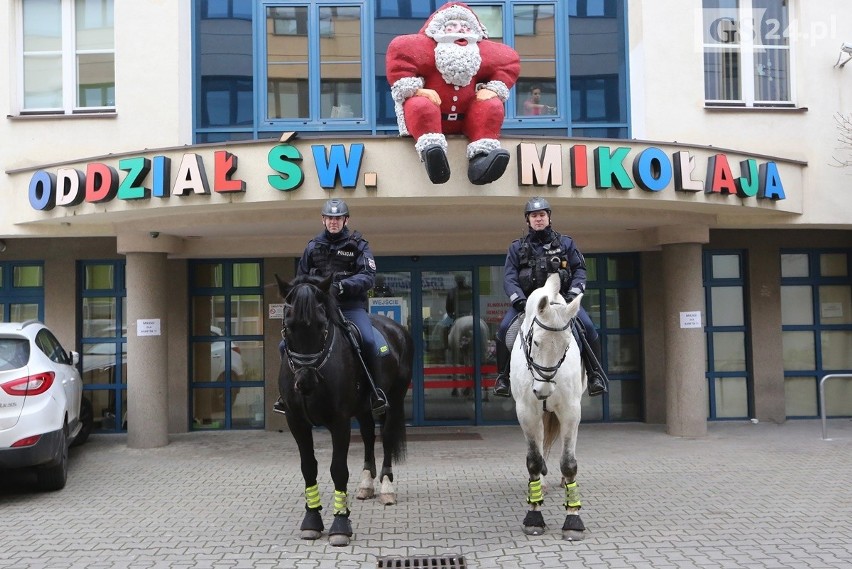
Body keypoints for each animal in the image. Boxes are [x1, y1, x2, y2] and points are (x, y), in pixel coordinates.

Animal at [276, 274, 412, 544]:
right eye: (288, 325)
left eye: (321, 325)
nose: (305, 381)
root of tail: (397, 328)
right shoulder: (296, 422)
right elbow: (308, 467)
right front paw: (311, 520)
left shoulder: (339, 422)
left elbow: (338, 469)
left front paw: (340, 525)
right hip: (363, 409)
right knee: (369, 436)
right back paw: (366, 485)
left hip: (394, 400)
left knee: (387, 437)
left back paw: (386, 488)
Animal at [510, 272, 588, 540]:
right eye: (535, 341)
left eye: (567, 343)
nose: (543, 391)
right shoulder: (526, 411)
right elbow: (533, 460)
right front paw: (534, 517)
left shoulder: (571, 411)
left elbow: (569, 463)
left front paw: (573, 520)